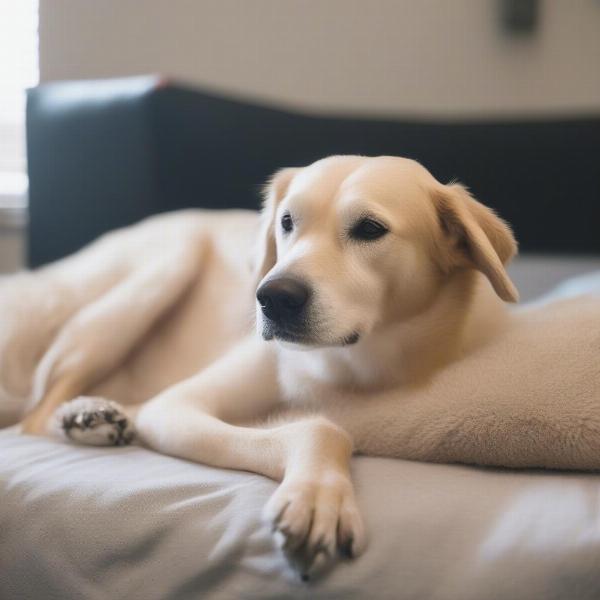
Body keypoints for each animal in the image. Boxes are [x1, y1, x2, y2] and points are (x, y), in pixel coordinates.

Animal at [1, 156, 600, 576]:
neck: (356, 362)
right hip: (156, 275)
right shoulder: (179, 407)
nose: (271, 297)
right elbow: (319, 426)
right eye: (287, 222)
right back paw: (87, 418)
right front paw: (318, 494)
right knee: (34, 413)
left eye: (369, 229)